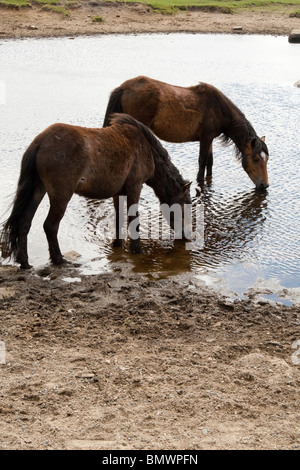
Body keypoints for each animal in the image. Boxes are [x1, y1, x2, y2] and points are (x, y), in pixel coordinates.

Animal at [0, 113, 190, 268]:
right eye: (184, 204)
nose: (186, 236)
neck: (146, 148)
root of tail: (39, 142)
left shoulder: (118, 193)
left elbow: (119, 217)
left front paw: (117, 243)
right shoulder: (135, 187)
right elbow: (133, 218)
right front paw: (137, 249)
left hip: (38, 190)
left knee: (24, 222)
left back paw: (25, 262)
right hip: (61, 195)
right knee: (50, 226)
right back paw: (59, 259)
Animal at [103, 75, 270, 189]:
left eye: (266, 159)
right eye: (256, 159)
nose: (265, 185)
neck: (219, 108)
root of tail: (124, 87)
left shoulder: (209, 138)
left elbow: (210, 162)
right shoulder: (205, 138)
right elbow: (202, 161)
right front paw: (200, 182)